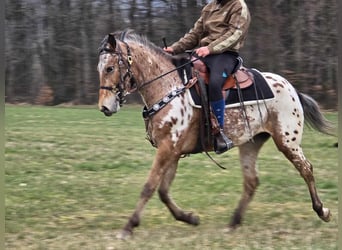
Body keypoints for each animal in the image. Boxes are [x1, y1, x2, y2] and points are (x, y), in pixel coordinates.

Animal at [97, 30, 332, 239]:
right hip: (251, 143)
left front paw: (128, 227)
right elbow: (163, 191)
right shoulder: (173, 151)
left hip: (287, 141)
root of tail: (291, 89)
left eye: (110, 67)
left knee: (306, 169)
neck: (168, 87)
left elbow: (149, 186)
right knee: (251, 182)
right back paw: (233, 223)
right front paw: (190, 218)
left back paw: (322, 211)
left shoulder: (167, 149)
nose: (105, 107)